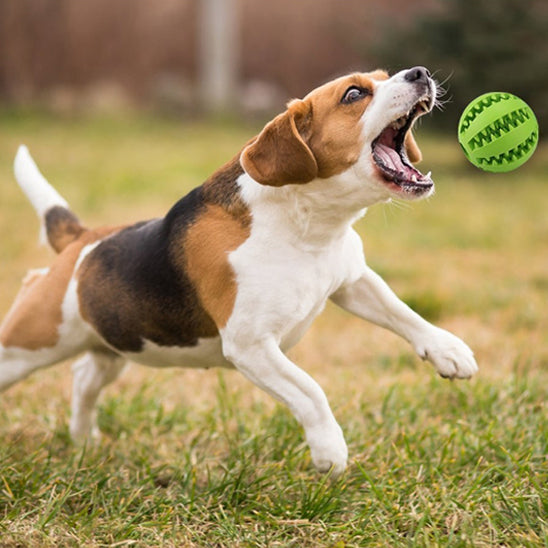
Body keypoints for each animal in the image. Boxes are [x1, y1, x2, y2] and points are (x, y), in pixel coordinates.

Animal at [1, 67, 476, 476]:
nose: (419, 73)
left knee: (83, 377)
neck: (308, 224)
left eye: (384, 76)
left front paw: (448, 350)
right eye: (354, 94)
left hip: (115, 345)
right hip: (27, 345)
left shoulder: (352, 281)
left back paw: (83, 440)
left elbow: (403, 313)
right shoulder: (252, 346)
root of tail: (80, 241)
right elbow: (310, 391)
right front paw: (330, 449)